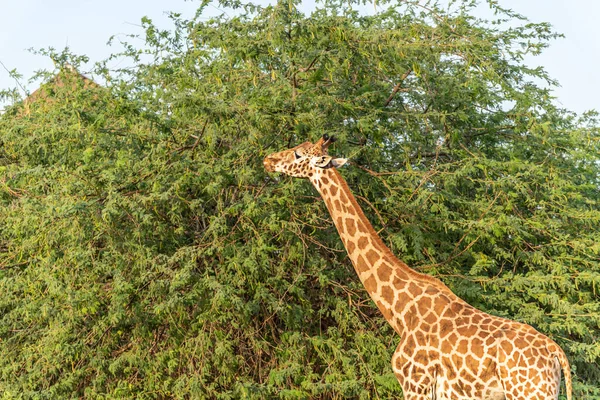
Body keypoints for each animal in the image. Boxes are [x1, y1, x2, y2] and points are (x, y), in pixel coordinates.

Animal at [262, 135, 572, 400]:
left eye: (297, 153)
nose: (268, 159)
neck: (401, 312)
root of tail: (556, 352)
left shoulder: (415, 383)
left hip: (528, 391)